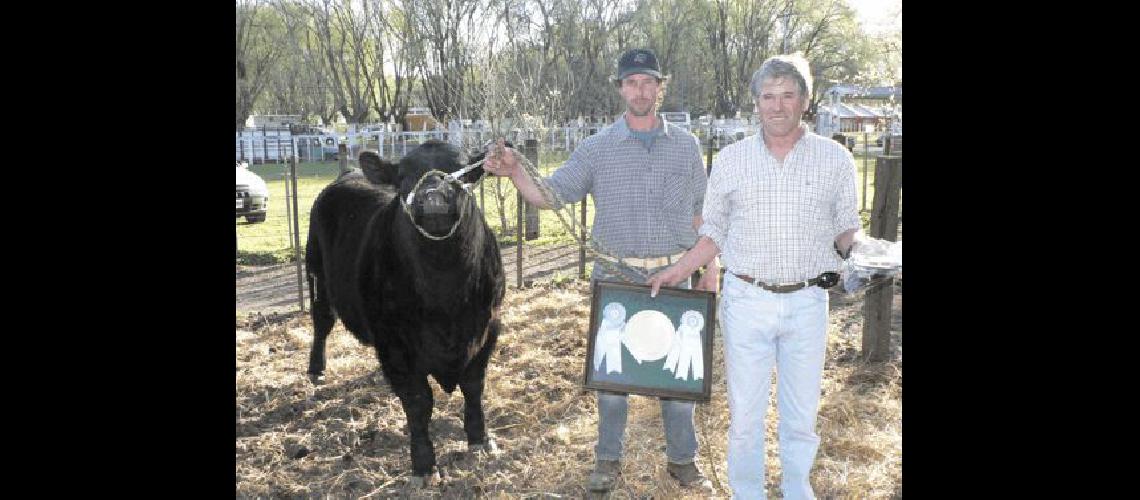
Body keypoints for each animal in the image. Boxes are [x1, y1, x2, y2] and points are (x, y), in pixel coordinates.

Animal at [303, 140, 503, 480]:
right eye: (404, 176)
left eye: (459, 170)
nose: (434, 193)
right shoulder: (394, 345)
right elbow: (418, 402)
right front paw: (423, 464)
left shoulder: (488, 328)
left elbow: (473, 386)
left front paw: (480, 439)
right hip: (317, 276)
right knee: (322, 323)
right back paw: (317, 369)